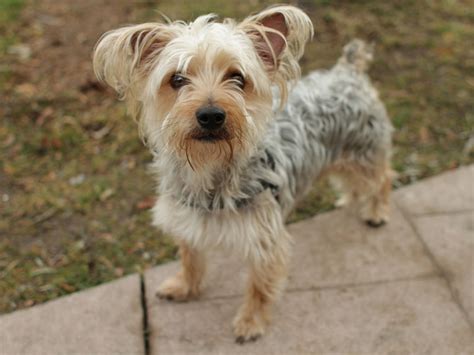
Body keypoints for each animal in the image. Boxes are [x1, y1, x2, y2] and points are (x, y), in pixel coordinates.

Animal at [92, 4, 392, 344]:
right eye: (177, 79)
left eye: (237, 77)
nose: (211, 115)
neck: (210, 169)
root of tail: (347, 71)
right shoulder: (187, 220)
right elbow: (190, 257)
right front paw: (184, 287)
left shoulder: (266, 240)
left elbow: (260, 287)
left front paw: (250, 322)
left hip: (363, 154)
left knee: (382, 178)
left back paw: (377, 211)